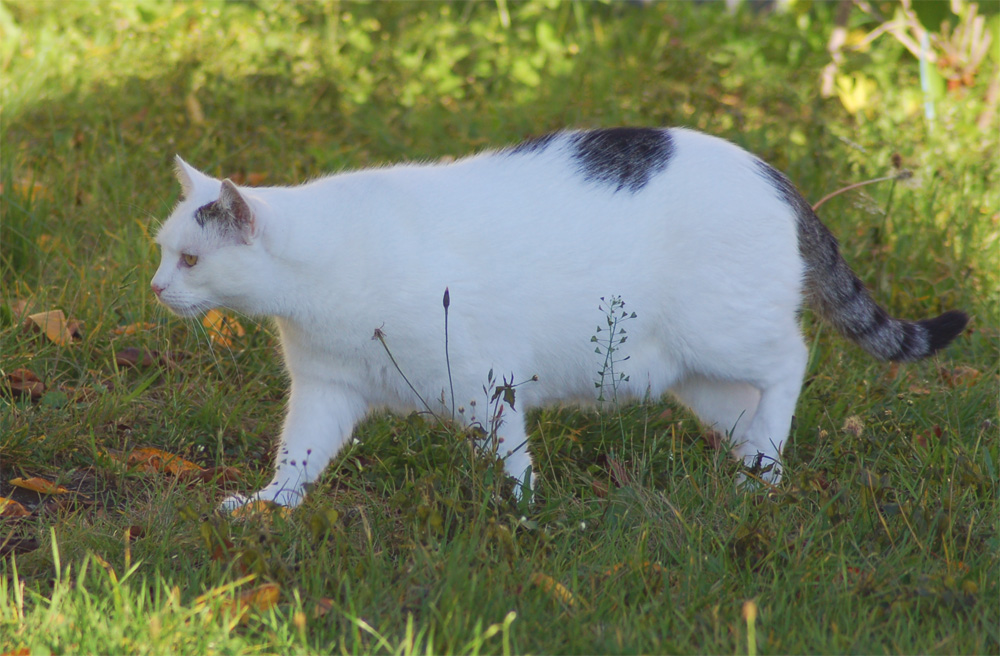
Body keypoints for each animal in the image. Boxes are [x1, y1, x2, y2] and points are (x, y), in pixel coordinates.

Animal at [150, 125, 968, 510]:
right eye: (163, 252)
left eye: (189, 260)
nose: (156, 289)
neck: (323, 278)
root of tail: (772, 173)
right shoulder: (327, 391)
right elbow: (297, 459)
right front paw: (268, 508)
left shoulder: (485, 383)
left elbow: (512, 459)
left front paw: (522, 515)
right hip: (693, 377)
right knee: (750, 413)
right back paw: (756, 474)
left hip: (724, 332)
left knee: (792, 361)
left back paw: (760, 471)